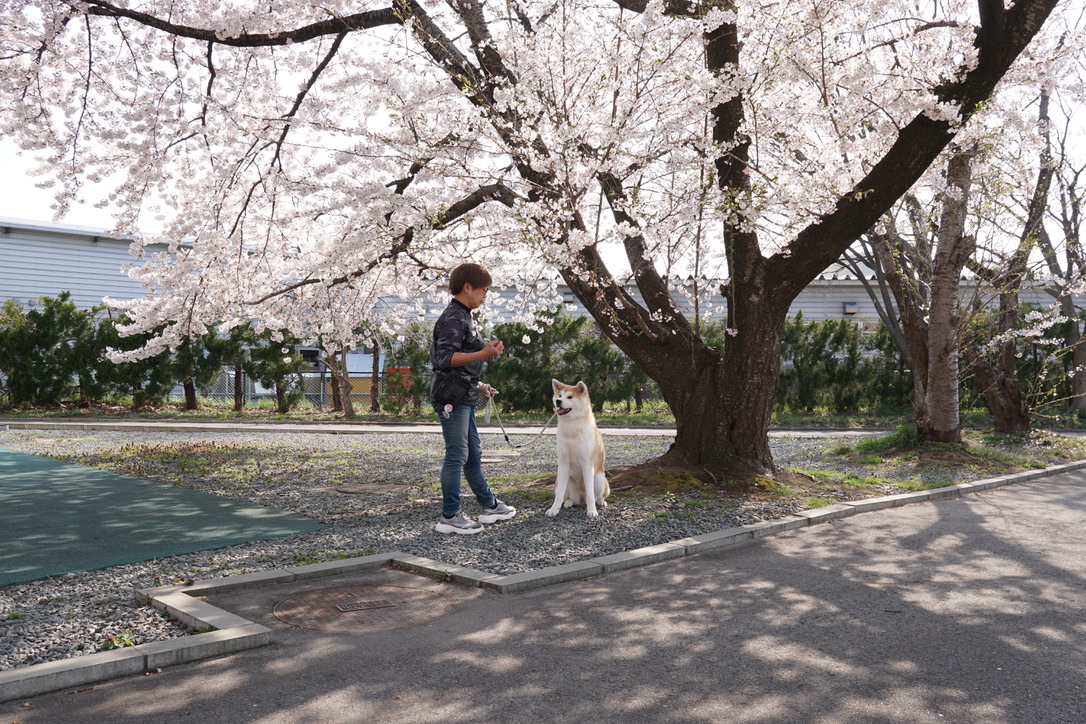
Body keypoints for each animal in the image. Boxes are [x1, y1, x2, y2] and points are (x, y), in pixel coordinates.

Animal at [543, 382, 612, 518]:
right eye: (559, 396)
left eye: (570, 397)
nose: (558, 401)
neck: (572, 427)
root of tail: (581, 498)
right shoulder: (563, 463)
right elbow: (559, 495)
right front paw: (554, 509)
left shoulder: (587, 464)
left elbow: (590, 495)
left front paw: (592, 511)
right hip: (562, 481)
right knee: (567, 497)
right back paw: (568, 502)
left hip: (600, 479)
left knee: (597, 496)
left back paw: (601, 502)